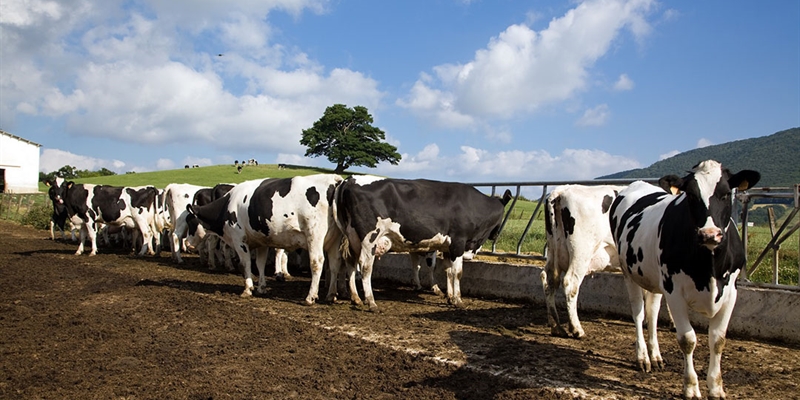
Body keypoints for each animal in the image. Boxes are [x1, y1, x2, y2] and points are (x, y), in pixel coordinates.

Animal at [186, 173, 342, 304]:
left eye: (189, 221)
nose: (187, 243)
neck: (229, 204)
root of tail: (333, 180)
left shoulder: (239, 240)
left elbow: (246, 263)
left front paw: (248, 289)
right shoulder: (261, 241)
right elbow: (260, 263)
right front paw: (261, 287)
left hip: (314, 236)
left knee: (317, 262)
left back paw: (310, 297)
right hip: (334, 240)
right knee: (334, 263)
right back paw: (331, 295)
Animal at [332, 175, 512, 310]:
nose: (495, 235)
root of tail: (350, 180)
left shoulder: (448, 247)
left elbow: (448, 271)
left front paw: (450, 297)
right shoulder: (458, 243)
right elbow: (457, 273)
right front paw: (458, 300)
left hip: (352, 238)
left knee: (350, 263)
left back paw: (355, 298)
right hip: (369, 238)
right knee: (365, 267)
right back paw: (371, 302)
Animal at [536, 184, 624, 338]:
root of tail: (561, 191)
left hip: (554, 250)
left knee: (548, 280)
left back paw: (556, 327)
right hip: (581, 253)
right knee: (570, 283)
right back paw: (576, 329)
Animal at [608, 160, 760, 400]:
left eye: (726, 193)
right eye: (690, 195)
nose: (709, 234)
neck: (709, 267)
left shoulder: (730, 294)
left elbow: (718, 340)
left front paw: (716, 388)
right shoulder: (675, 292)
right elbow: (687, 339)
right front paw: (690, 387)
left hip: (654, 278)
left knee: (652, 313)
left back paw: (656, 356)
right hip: (629, 272)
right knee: (639, 313)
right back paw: (643, 357)